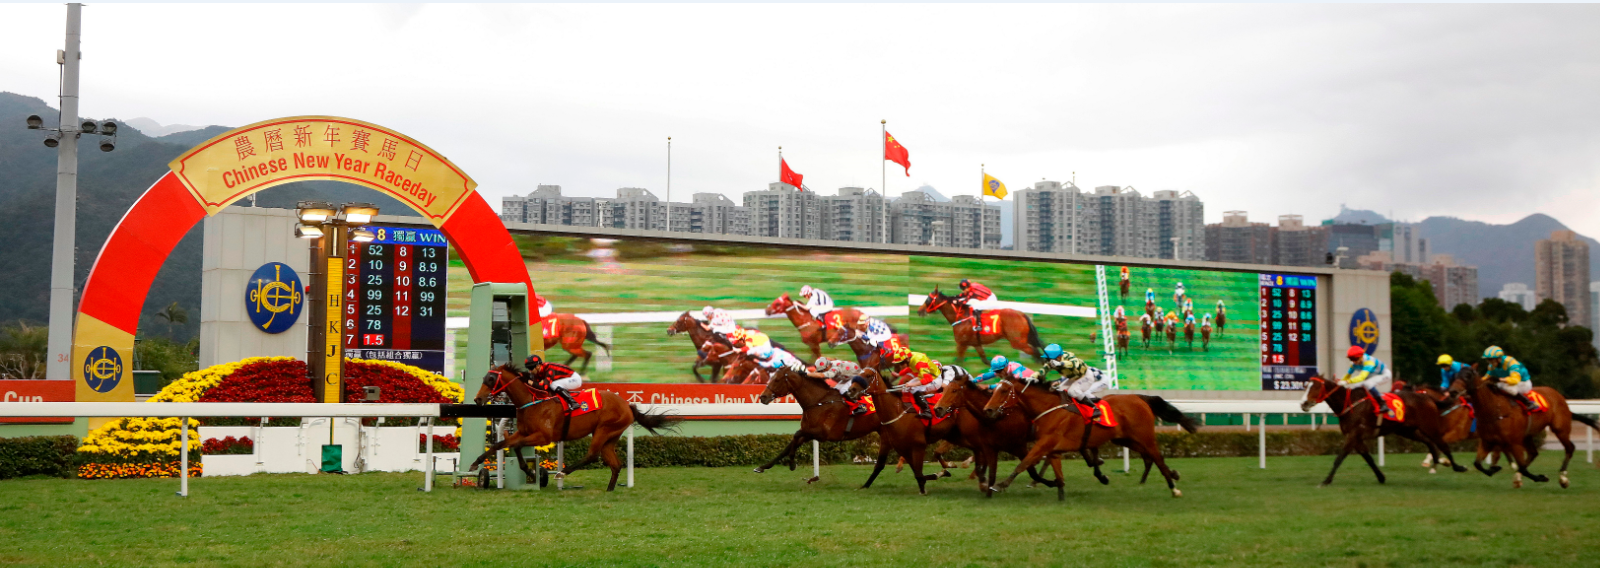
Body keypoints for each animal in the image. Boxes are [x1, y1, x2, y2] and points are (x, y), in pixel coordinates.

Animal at [467, 366, 681, 492]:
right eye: (485, 378)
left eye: (490, 379)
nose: (478, 399)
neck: (532, 402)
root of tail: (628, 405)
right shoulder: (524, 432)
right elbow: (503, 444)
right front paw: (477, 463)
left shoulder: (543, 436)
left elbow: (514, 445)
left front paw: (532, 473)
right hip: (610, 436)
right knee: (615, 463)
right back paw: (609, 489)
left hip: (603, 430)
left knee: (592, 455)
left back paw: (563, 472)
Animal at [752, 369, 934, 492]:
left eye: (776, 380)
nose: (763, 397)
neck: (819, 401)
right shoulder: (809, 431)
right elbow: (789, 445)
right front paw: (763, 467)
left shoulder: (821, 433)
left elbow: (795, 437)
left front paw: (791, 463)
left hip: (888, 434)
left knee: (888, 460)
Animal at [972, 380, 1203, 499]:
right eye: (993, 389)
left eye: (1003, 390)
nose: (988, 410)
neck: (1049, 409)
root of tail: (1139, 398)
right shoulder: (1052, 447)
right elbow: (1054, 470)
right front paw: (1060, 491)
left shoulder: (1045, 443)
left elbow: (1025, 462)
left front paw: (1000, 485)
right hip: (1125, 439)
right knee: (1151, 457)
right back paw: (1171, 475)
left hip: (1144, 437)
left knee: (1157, 457)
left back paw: (1173, 487)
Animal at [1292, 376, 1465, 486]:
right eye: (1305, 386)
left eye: (1315, 387)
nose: (1303, 404)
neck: (1351, 403)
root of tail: (1428, 398)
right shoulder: (1356, 437)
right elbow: (1369, 458)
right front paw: (1381, 477)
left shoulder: (1353, 435)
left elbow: (1339, 458)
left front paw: (1326, 481)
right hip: (1408, 430)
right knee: (1430, 443)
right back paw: (1437, 461)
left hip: (1429, 426)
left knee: (1442, 444)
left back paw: (1457, 466)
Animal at [1446, 369, 1593, 489]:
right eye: (1454, 376)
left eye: (1467, 376)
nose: (1453, 392)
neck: (1495, 409)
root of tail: (1558, 395)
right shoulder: (1488, 441)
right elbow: (1477, 464)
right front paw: (1494, 469)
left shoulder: (1514, 442)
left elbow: (1522, 467)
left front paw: (1541, 477)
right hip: (1527, 435)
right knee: (1533, 453)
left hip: (1560, 428)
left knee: (1570, 448)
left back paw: (1563, 478)